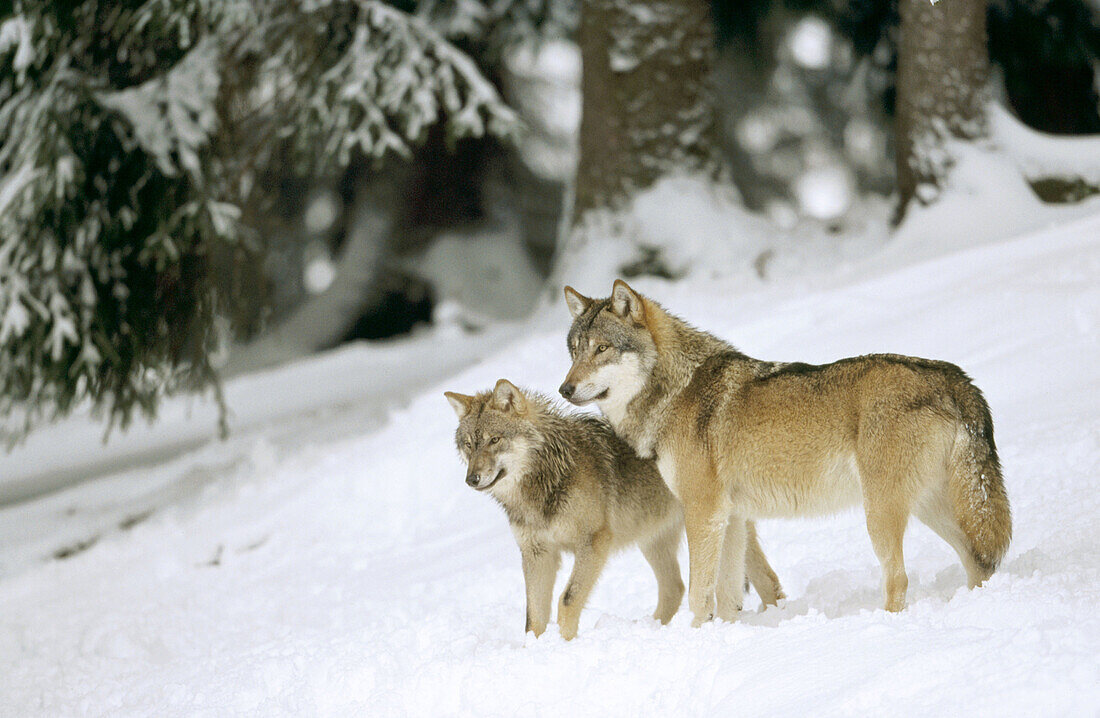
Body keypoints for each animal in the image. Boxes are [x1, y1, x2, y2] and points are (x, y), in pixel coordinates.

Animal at [442, 378, 787, 642]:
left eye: (495, 440)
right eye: (469, 445)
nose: (472, 479)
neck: (544, 485)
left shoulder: (593, 544)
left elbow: (567, 601)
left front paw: (564, 646)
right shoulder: (537, 554)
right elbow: (533, 619)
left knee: (768, 581)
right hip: (653, 540)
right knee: (675, 588)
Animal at [563, 277, 1007, 624]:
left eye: (602, 349)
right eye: (574, 350)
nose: (564, 389)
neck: (675, 390)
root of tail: (954, 377)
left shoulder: (703, 512)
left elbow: (699, 595)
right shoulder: (733, 518)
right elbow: (726, 596)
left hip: (881, 512)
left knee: (899, 578)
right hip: (932, 507)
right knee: (979, 558)